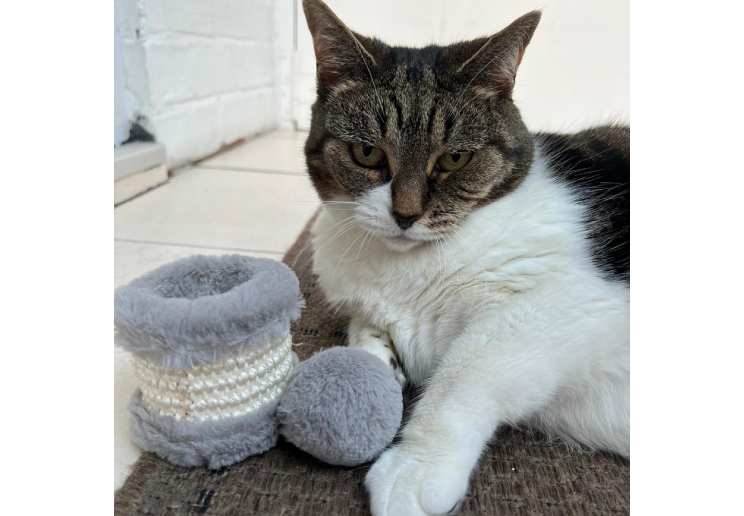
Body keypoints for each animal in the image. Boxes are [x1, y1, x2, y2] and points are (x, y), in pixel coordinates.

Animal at [300, 2, 632, 512]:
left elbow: (468, 367)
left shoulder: (576, 303)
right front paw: (376, 363)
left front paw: (414, 469)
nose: (405, 215)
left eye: (454, 159)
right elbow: (366, 331)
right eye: (367, 152)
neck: (405, 266)